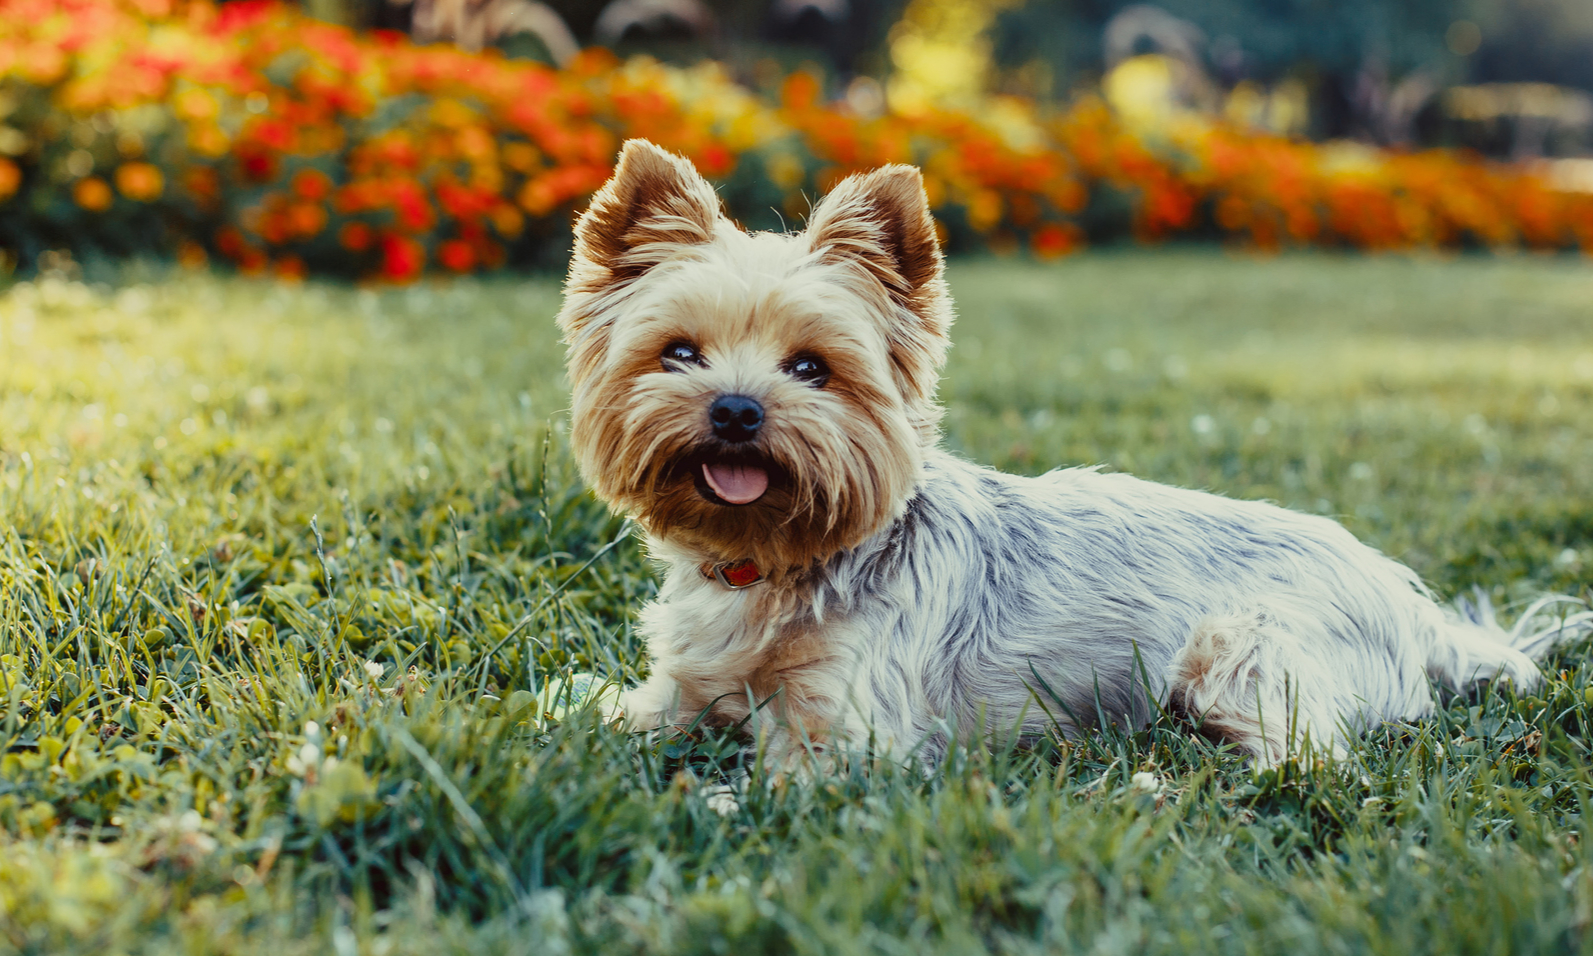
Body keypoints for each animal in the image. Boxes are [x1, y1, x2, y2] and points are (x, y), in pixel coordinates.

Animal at [554, 140, 1586, 767]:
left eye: (811, 368)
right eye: (679, 353)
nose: (734, 410)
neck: (769, 560)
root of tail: (1416, 609)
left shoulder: (845, 733)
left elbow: (769, 781)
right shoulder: (679, 689)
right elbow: (618, 713)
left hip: (1240, 650)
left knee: (1309, 757)